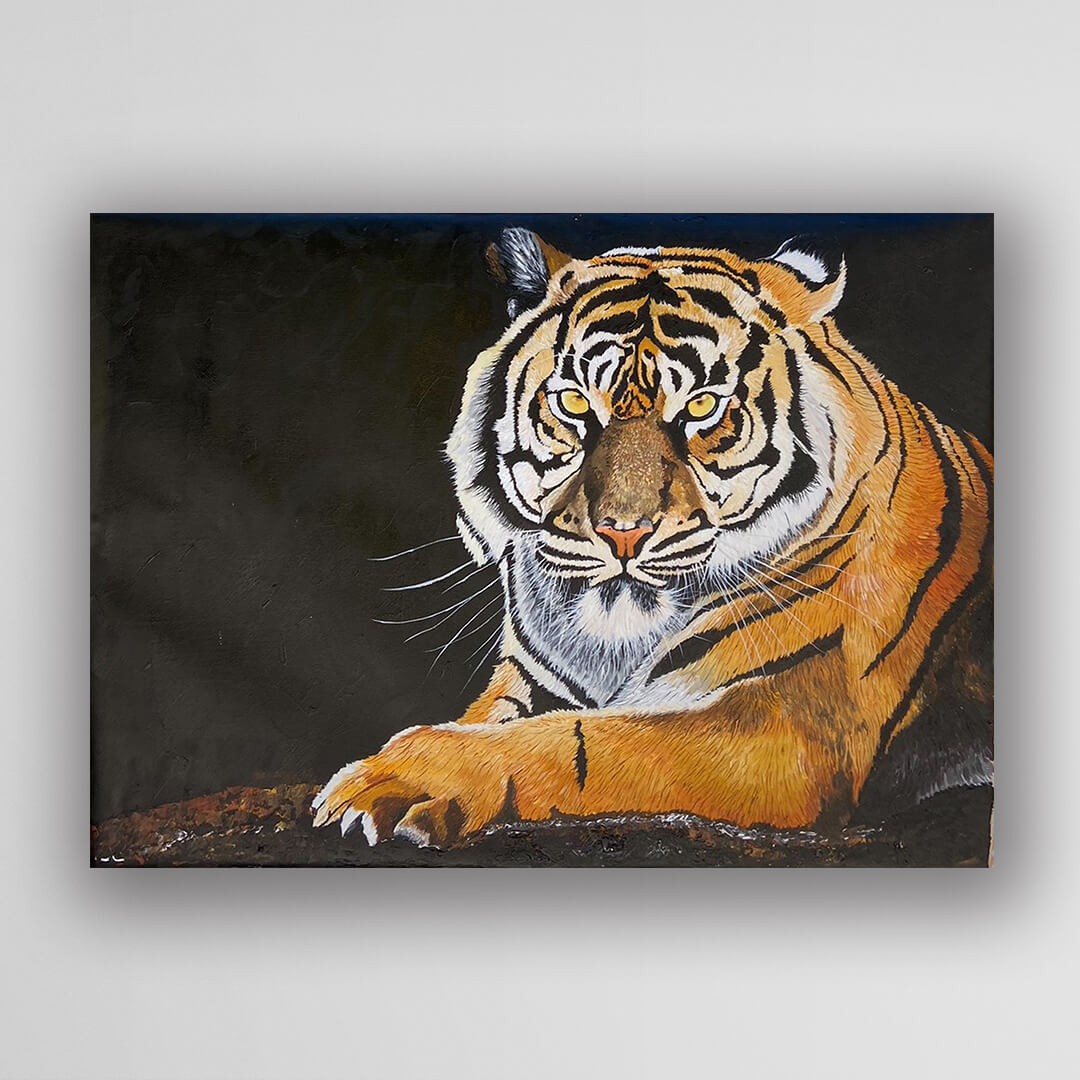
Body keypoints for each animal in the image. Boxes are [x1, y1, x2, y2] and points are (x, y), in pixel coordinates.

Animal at [313, 228, 994, 850]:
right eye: (573, 404)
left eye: (699, 408)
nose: (623, 533)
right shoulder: (528, 680)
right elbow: (497, 719)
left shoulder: (791, 726)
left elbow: (590, 741)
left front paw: (394, 779)